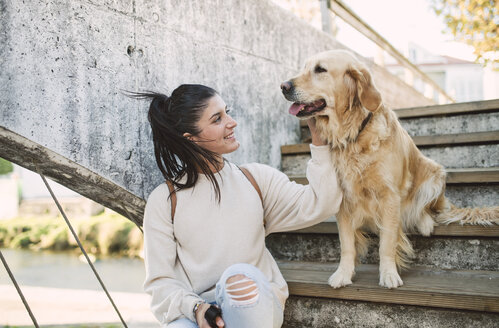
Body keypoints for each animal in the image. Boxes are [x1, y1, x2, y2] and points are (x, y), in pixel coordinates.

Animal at [282, 48, 499, 288]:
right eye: (303, 68)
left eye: (320, 69)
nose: (283, 86)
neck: (353, 135)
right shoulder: (344, 198)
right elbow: (347, 244)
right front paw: (343, 273)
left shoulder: (390, 197)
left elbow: (386, 243)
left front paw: (388, 274)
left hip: (435, 174)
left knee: (428, 208)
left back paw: (425, 223)